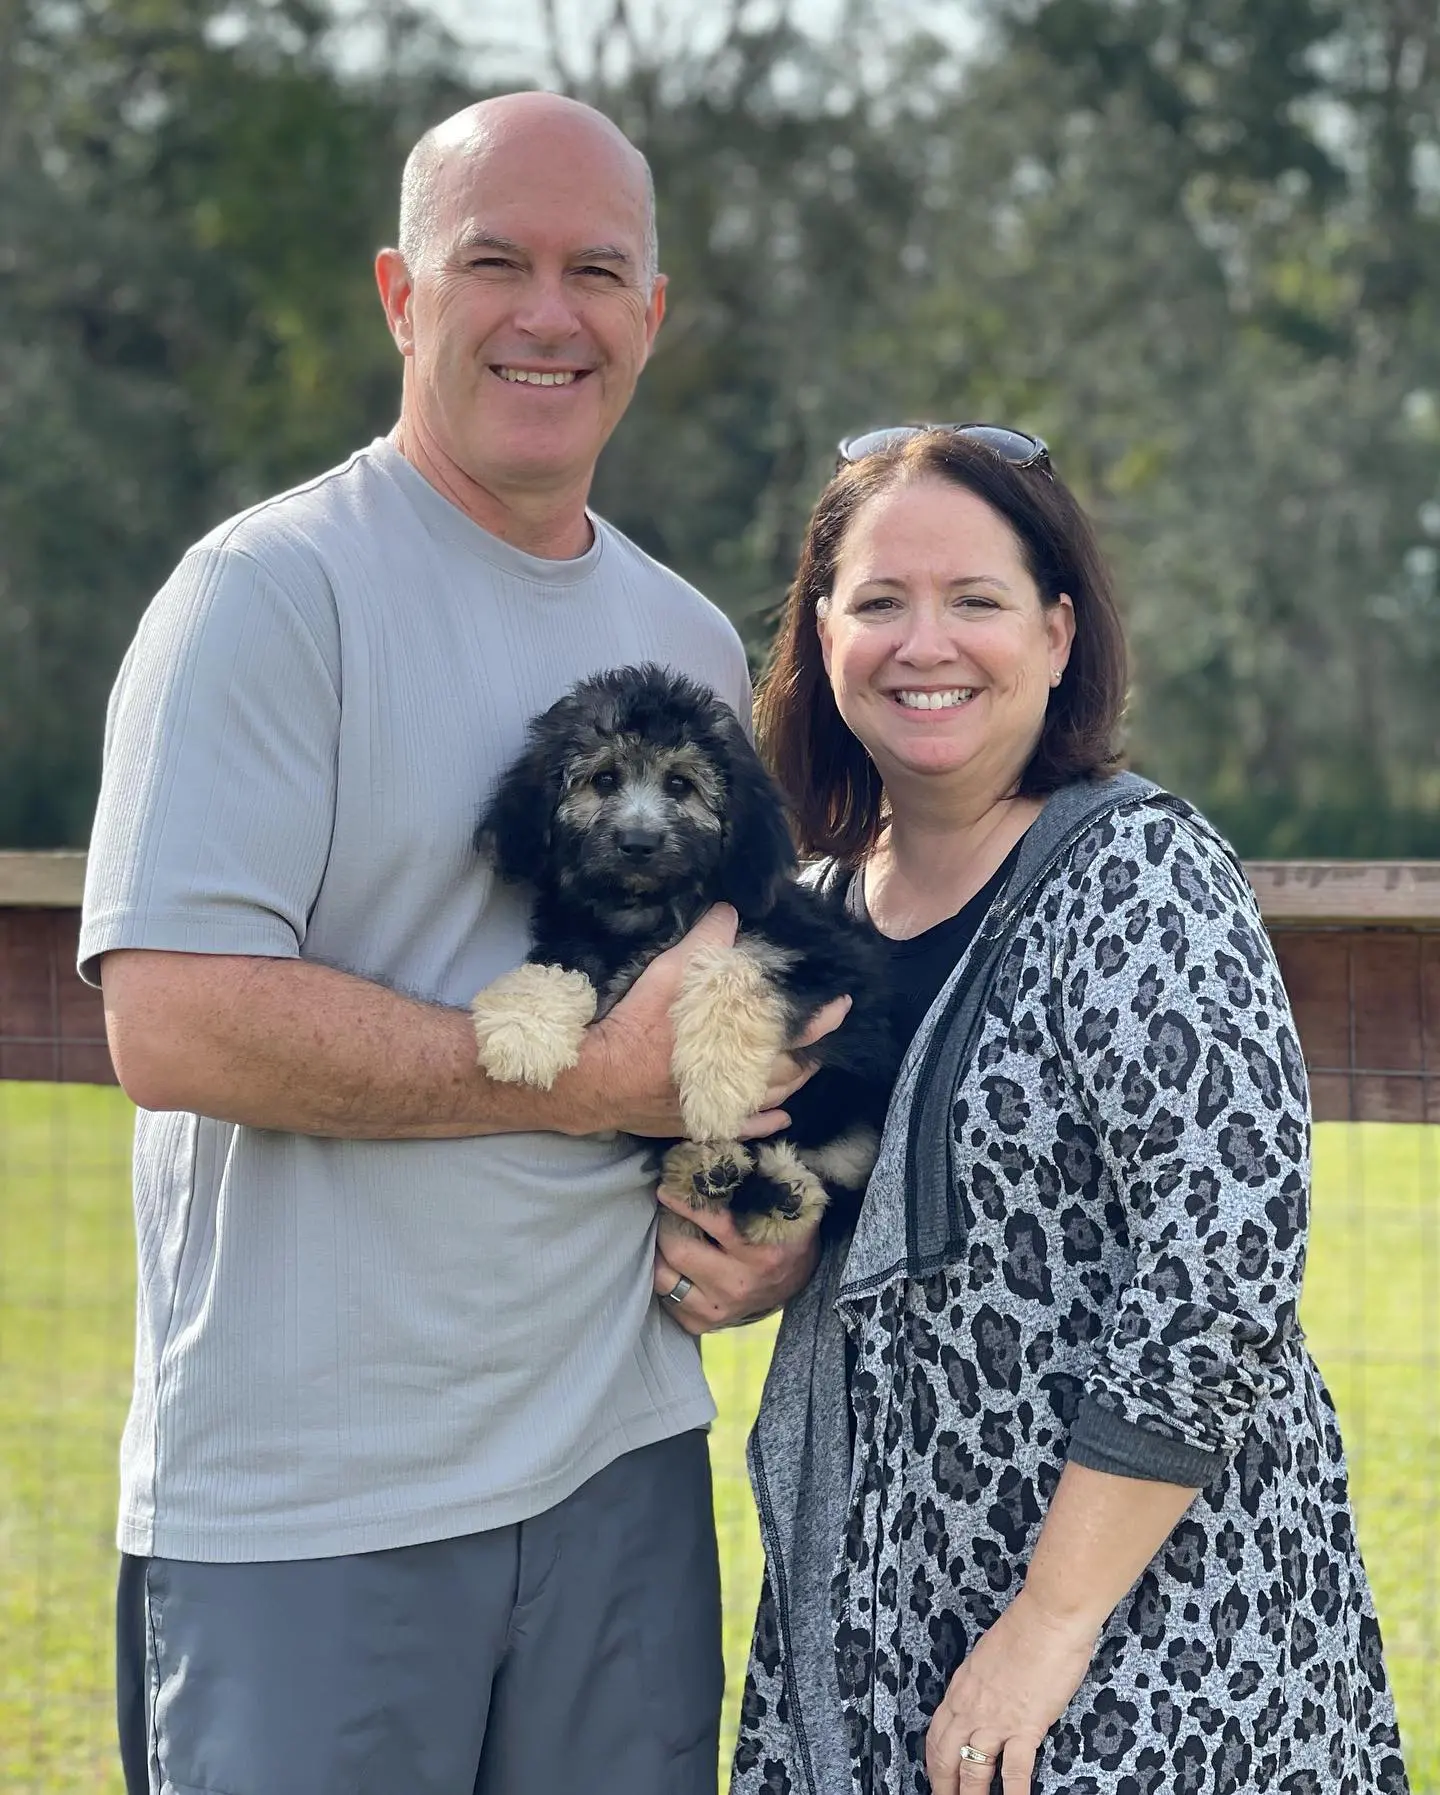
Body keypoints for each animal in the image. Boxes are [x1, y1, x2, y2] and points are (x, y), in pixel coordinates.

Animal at [470, 667, 897, 1242]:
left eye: (680, 784)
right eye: (604, 779)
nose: (637, 842)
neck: (646, 913)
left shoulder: (833, 964)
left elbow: (739, 963)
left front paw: (717, 1080)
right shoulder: (579, 936)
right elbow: (560, 965)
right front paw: (521, 1024)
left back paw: (777, 1189)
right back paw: (713, 1169)